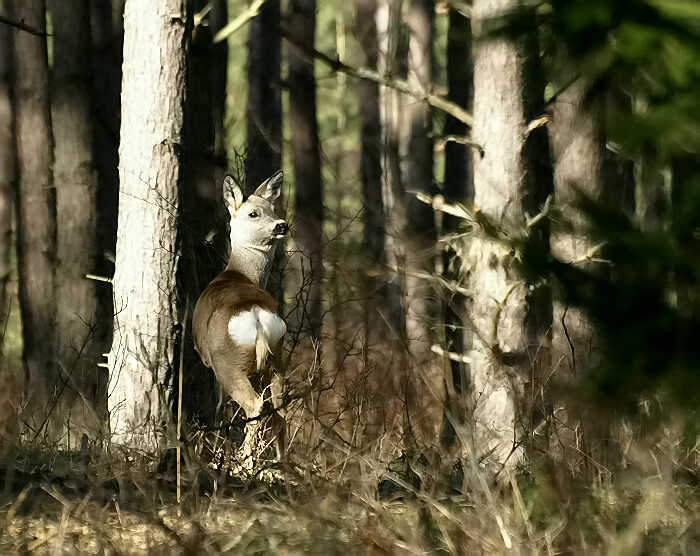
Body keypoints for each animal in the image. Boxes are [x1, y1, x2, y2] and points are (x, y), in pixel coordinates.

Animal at [193, 172, 288, 466]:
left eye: (273, 210)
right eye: (254, 213)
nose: (282, 224)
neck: (239, 272)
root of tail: (256, 316)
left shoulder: (209, 362)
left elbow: (219, 407)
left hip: (227, 362)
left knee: (255, 405)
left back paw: (242, 460)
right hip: (277, 357)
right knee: (280, 408)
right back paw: (281, 462)